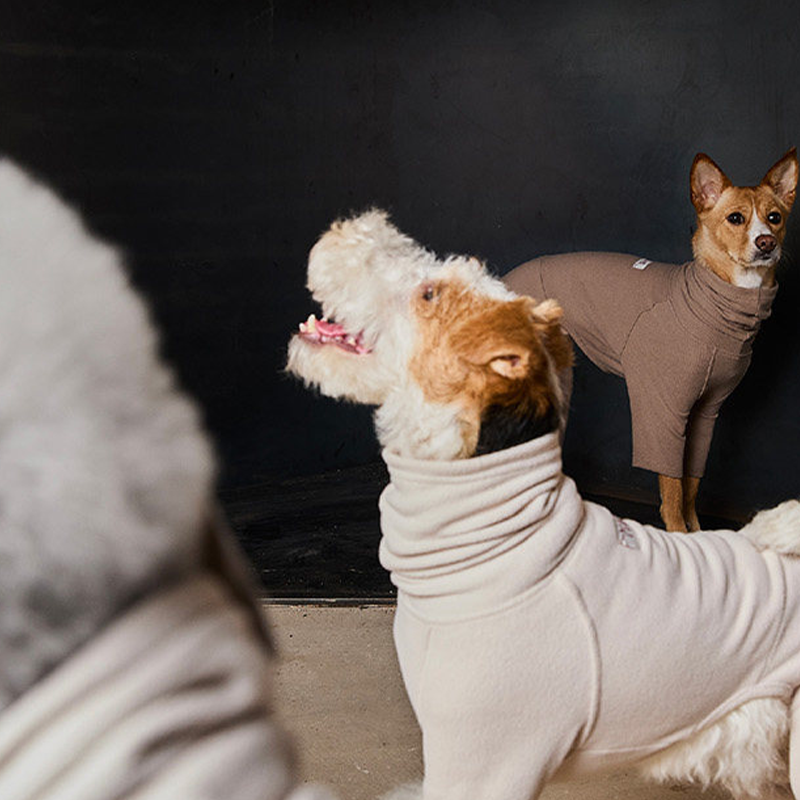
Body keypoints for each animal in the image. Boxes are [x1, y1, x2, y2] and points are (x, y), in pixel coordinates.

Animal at [504, 149, 798, 532]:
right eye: (736, 218)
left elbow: (691, 484)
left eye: (774, 218)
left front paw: (697, 534)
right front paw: (678, 535)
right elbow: (672, 491)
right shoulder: (662, 410)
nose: (767, 243)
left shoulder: (706, 413)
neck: (716, 302)